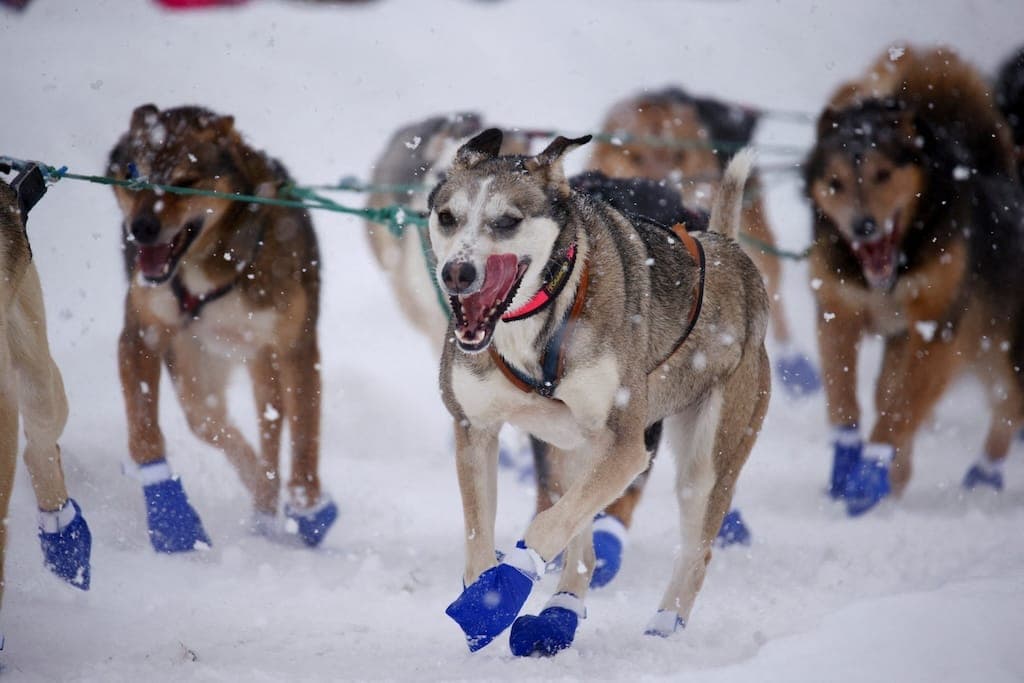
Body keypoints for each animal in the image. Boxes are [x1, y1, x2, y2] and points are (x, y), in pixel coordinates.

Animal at [110, 108, 337, 557]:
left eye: (184, 181)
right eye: (133, 174)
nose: (141, 228)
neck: (211, 264)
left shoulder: (297, 346)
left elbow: (304, 433)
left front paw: (308, 509)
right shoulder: (141, 335)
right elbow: (144, 433)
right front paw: (170, 519)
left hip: (261, 355)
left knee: (274, 421)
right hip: (196, 369)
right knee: (215, 422)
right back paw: (262, 498)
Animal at [430, 129, 770, 655]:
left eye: (507, 221)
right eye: (447, 217)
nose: (456, 273)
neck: (537, 318)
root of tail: (728, 249)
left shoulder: (627, 446)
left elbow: (548, 525)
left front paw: (504, 589)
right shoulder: (475, 428)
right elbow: (480, 535)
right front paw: (486, 593)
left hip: (706, 460)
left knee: (695, 551)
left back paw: (663, 624)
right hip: (574, 448)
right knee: (582, 540)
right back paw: (560, 612)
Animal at [806, 45, 1024, 516]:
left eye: (883, 174)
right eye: (835, 182)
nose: (863, 226)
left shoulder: (936, 328)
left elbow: (900, 411)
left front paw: (870, 472)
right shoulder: (838, 310)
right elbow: (844, 398)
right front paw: (848, 466)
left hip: (1003, 351)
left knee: (1008, 406)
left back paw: (982, 480)